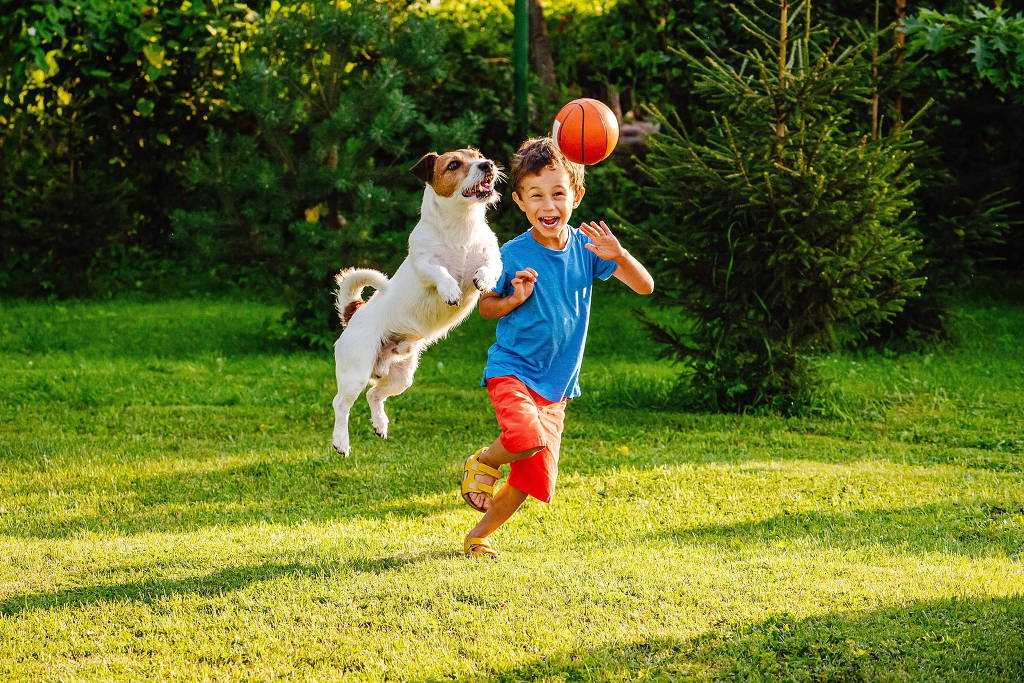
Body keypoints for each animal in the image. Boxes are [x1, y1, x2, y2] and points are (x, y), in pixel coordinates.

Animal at [329, 150, 501, 458]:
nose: (488, 165)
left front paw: (482, 278)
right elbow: (439, 271)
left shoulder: (492, 256)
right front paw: (450, 289)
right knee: (341, 404)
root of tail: (354, 313)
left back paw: (380, 424)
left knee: (374, 394)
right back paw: (341, 442)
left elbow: (490, 266)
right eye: (454, 164)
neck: (461, 227)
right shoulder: (424, 265)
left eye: (478, 155)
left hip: (402, 376)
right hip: (355, 371)